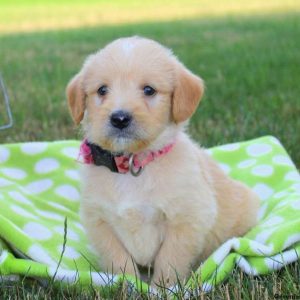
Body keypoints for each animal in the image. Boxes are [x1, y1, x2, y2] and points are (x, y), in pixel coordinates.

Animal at [67, 36, 258, 284]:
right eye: (102, 90)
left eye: (149, 90)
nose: (120, 118)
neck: (133, 165)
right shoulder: (99, 222)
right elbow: (119, 260)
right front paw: (128, 284)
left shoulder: (187, 219)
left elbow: (170, 260)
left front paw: (161, 287)